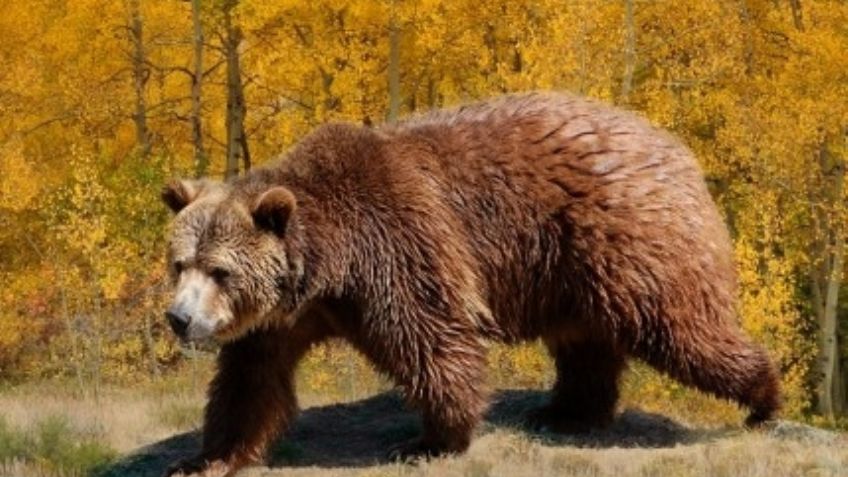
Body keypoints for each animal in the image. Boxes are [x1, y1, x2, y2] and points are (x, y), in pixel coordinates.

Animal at [161, 92, 780, 477]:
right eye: (179, 263)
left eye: (220, 270)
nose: (180, 318)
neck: (326, 269)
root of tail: (675, 146)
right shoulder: (278, 320)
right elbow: (250, 383)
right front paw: (203, 459)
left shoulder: (395, 246)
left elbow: (431, 338)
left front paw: (430, 438)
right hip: (570, 270)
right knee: (585, 341)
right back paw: (566, 411)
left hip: (626, 233)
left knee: (682, 326)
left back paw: (764, 398)